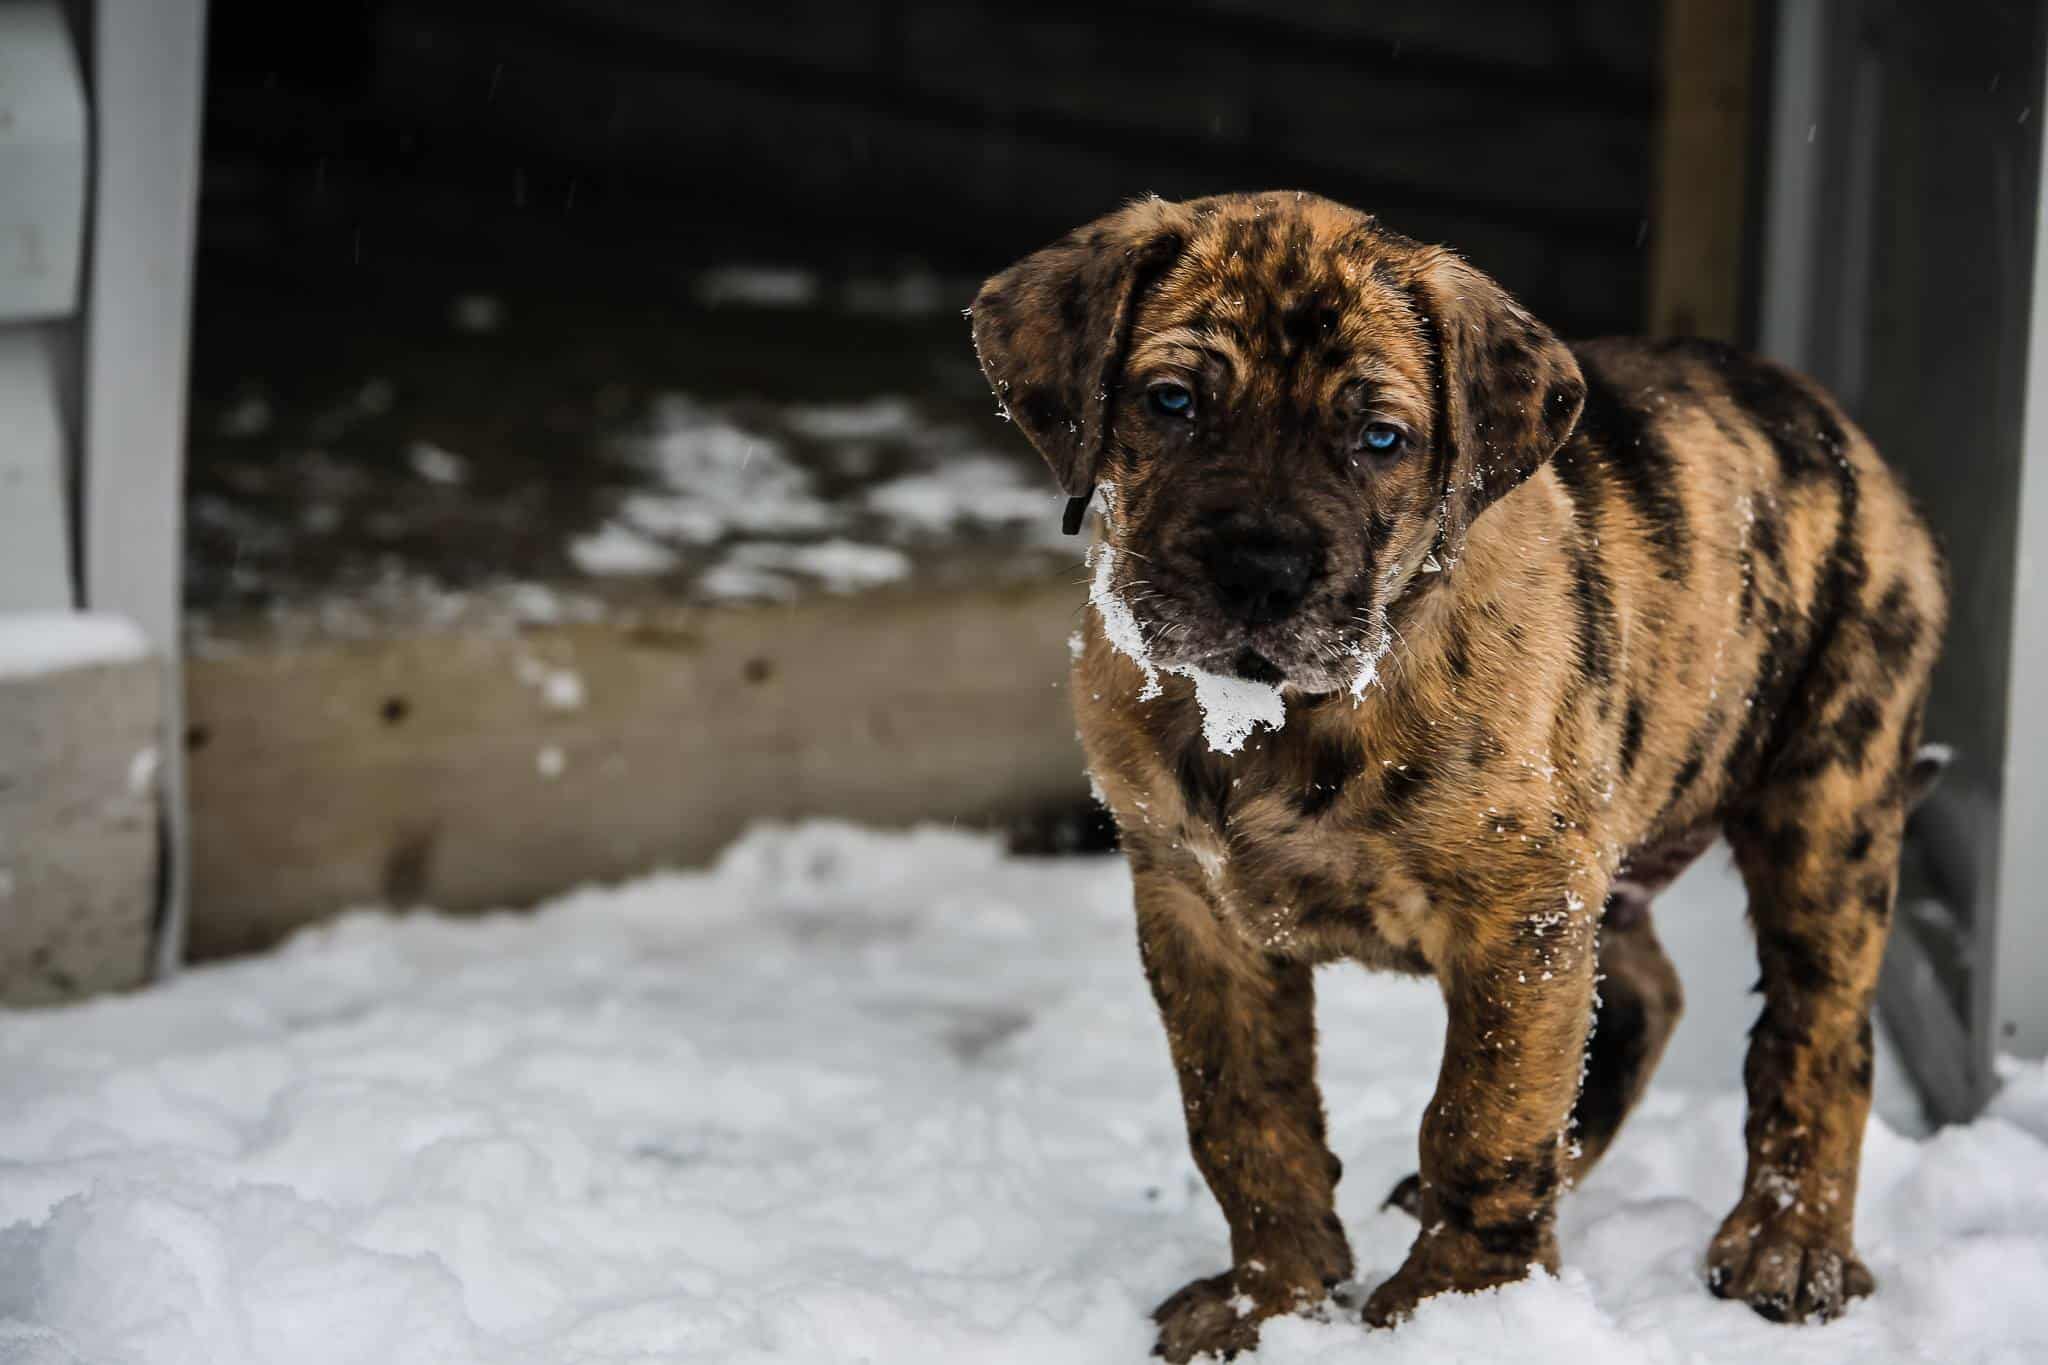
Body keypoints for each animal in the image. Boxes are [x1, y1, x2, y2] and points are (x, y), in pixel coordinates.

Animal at [966, 189, 1941, 1358]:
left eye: (1379, 439)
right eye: (1171, 402)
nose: (1258, 571)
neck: (1283, 716)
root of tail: (1835, 429)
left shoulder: (1517, 914)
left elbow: (1485, 1115)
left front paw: (1457, 1307)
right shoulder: (1190, 903)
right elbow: (1244, 1115)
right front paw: (1273, 1299)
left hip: (1827, 799)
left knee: (1817, 1030)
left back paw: (1788, 1246)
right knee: (1644, 994)